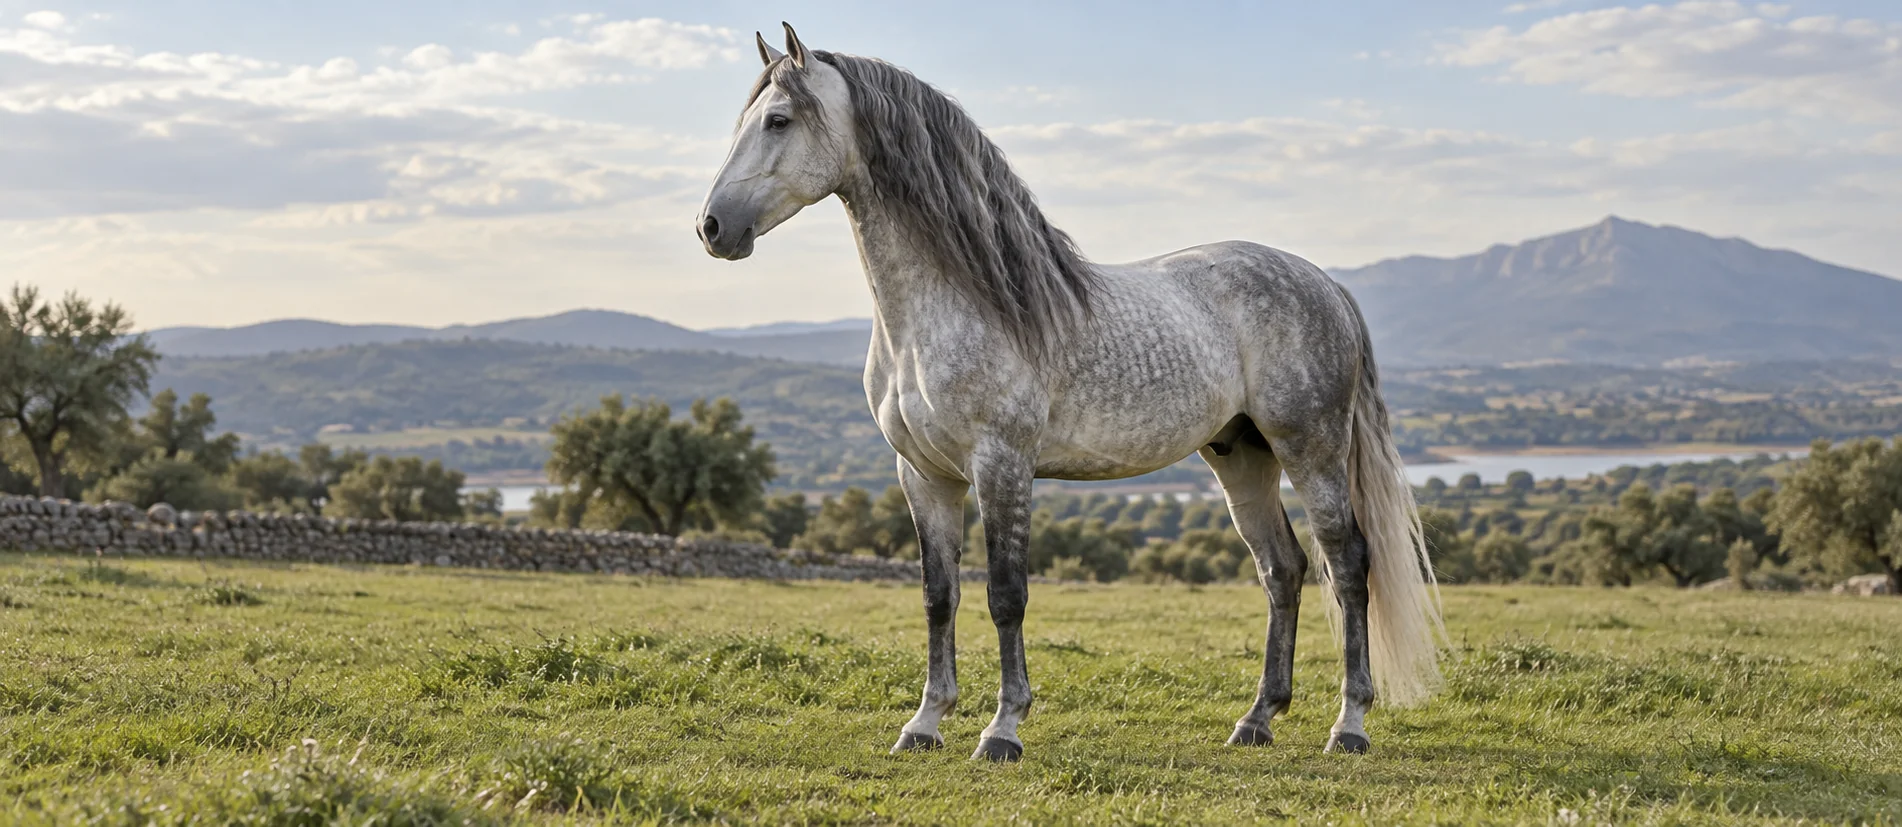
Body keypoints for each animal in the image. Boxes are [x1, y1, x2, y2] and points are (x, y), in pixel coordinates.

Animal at [696, 24, 1443, 762]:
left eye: (778, 120)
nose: (711, 228)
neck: (959, 305)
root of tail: (1324, 280)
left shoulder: (1001, 464)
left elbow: (1005, 595)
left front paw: (1002, 729)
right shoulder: (923, 474)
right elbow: (939, 596)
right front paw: (925, 724)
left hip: (1309, 447)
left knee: (1348, 564)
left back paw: (1349, 725)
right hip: (1240, 455)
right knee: (1282, 568)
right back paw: (1257, 719)